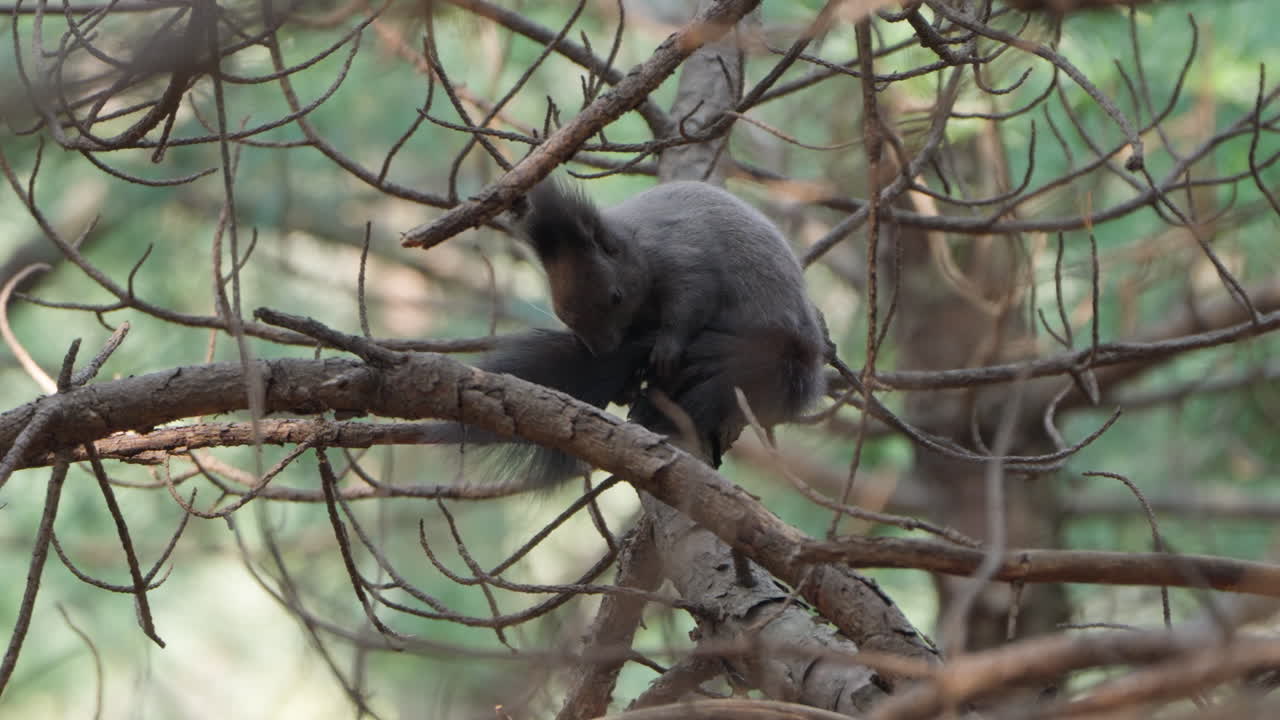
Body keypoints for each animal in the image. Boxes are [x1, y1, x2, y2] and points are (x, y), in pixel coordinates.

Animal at [424, 180, 827, 490]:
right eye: (562, 314)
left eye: (615, 296)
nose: (601, 349)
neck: (637, 245)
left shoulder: (688, 263)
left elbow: (688, 307)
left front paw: (666, 349)